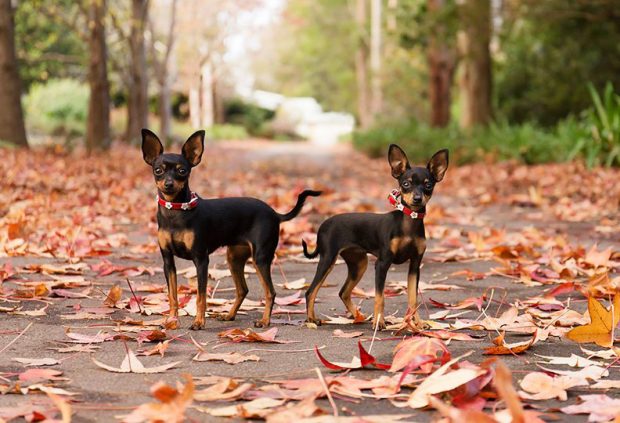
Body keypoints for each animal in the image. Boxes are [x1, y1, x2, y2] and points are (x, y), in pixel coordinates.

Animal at [143, 130, 322, 332]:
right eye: (158, 170)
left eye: (183, 171)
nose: (169, 184)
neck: (175, 211)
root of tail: (274, 214)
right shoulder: (168, 261)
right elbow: (172, 295)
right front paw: (171, 320)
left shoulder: (201, 260)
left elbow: (201, 296)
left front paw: (199, 322)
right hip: (234, 258)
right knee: (243, 289)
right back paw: (229, 315)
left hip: (260, 258)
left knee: (270, 292)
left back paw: (264, 321)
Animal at [300, 146, 446, 332]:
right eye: (406, 184)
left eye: (428, 185)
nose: (417, 198)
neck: (409, 222)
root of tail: (323, 224)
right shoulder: (382, 263)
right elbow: (380, 297)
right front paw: (378, 322)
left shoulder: (414, 265)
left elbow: (413, 299)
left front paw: (418, 323)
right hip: (328, 259)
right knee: (310, 291)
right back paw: (312, 319)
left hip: (359, 263)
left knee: (343, 292)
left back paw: (358, 317)